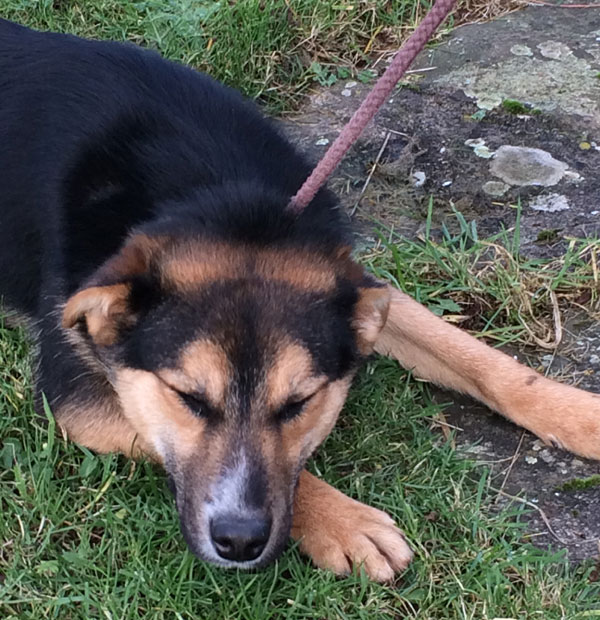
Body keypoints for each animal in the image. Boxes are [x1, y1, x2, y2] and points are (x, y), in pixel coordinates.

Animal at [1, 18, 600, 580]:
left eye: (299, 404)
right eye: (188, 398)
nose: (239, 542)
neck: (220, 194)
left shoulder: (353, 285)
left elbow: (470, 354)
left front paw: (576, 412)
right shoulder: (77, 399)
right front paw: (347, 522)